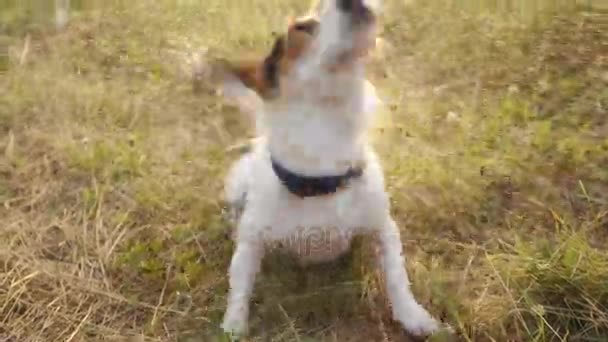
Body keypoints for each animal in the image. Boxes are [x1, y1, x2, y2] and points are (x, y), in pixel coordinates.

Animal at [213, 0, 442, 338]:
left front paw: (413, 315)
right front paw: (233, 325)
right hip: (237, 180)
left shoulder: (384, 228)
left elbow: (397, 275)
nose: (352, 2)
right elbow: (239, 285)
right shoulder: (251, 242)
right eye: (302, 27)